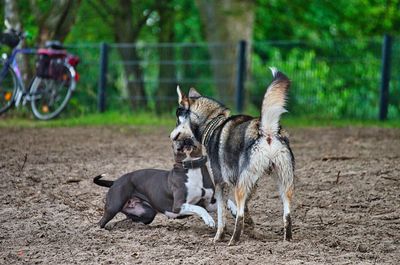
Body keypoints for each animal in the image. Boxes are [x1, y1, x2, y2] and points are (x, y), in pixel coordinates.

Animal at [170, 67, 296, 243]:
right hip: (284, 181)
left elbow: (222, 213)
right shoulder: (250, 181)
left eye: (177, 120)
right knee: (287, 214)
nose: (171, 135)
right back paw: (287, 239)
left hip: (241, 186)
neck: (213, 122)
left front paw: (218, 236)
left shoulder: (220, 181)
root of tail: (267, 130)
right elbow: (245, 207)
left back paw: (233, 241)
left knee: (240, 216)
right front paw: (250, 226)